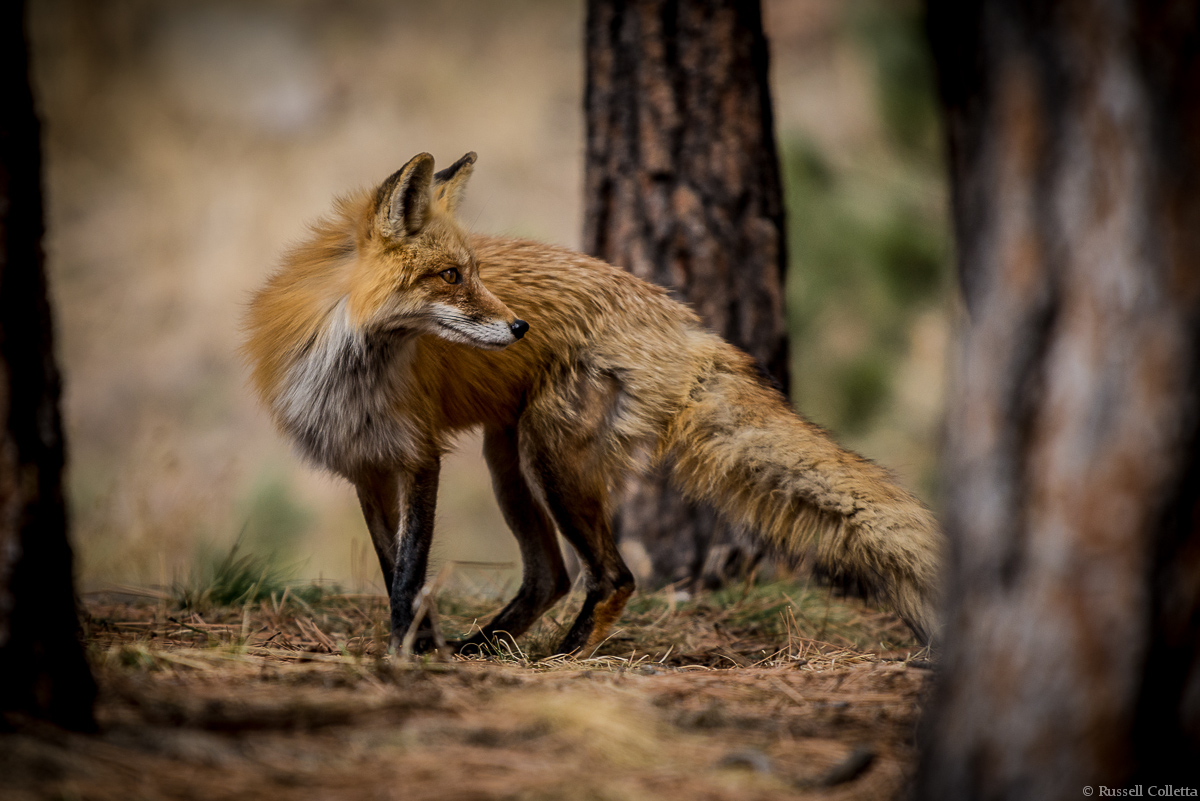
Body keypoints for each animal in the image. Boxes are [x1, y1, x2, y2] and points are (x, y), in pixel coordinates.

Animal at [243, 151, 943, 654]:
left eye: (474, 272)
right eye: (451, 276)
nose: (520, 326)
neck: (352, 373)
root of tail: (686, 322)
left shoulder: (419, 460)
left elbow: (411, 573)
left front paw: (406, 655)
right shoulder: (366, 467)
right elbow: (395, 573)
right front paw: (417, 645)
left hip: (549, 459)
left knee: (611, 576)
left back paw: (562, 657)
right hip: (510, 463)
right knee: (550, 574)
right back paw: (483, 648)